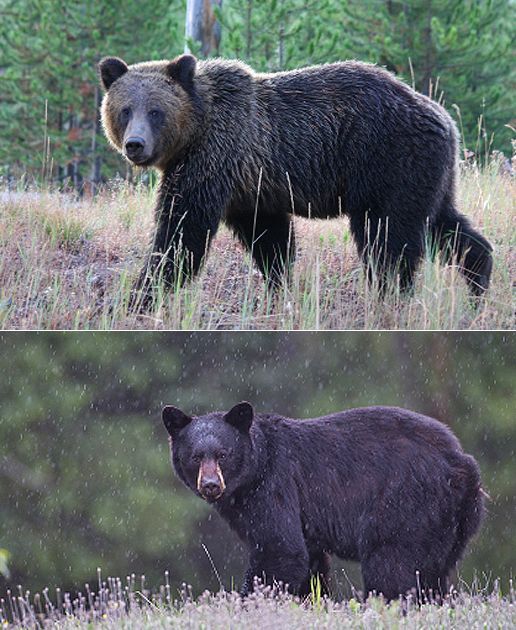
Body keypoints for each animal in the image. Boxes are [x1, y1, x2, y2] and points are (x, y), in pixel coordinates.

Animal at [100, 56, 492, 312]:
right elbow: (269, 240)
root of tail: (443, 117)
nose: (135, 144)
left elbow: (182, 234)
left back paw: (390, 295)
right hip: (428, 174)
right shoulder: (250, 188)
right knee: (445, 224)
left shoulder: (214, 158)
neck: (197, 129)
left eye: (156, 111)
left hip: (390, 163)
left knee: (388, 237)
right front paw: (279, 288)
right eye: (125, 109)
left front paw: (138, 297)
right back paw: (478, 281)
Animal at [162, 404, 484, 604]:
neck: (254, 469)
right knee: (433, 573)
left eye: (223, 454)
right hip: (452, 524)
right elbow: (309, 562)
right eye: (195, 456)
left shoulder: (274, 488)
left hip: (406, 504)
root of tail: (461, 461)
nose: (211, 485)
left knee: (391, 567)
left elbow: (280, 549)